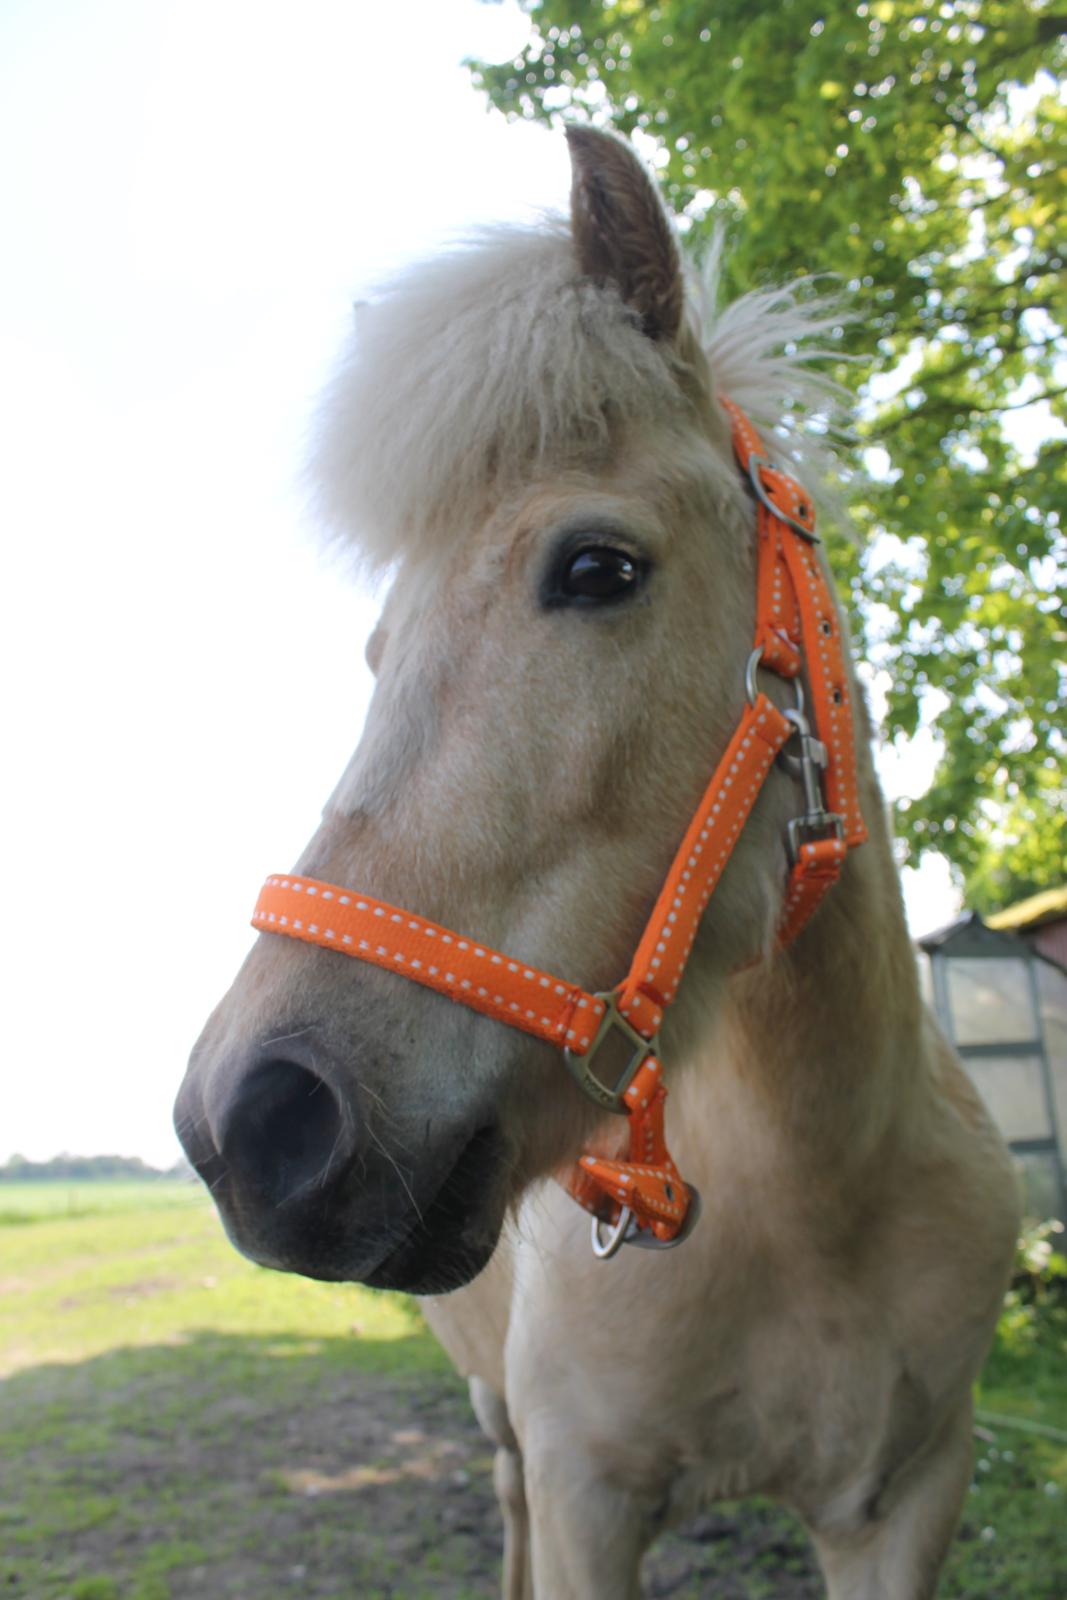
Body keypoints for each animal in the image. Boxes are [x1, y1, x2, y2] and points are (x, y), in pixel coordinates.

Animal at [179, 128, 1023, 1600]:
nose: (250, 1121)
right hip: (504, 1430)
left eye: (594, 568)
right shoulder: (587, 1502)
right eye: (376, 650)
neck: (813, 1197)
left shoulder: (909, 1499)